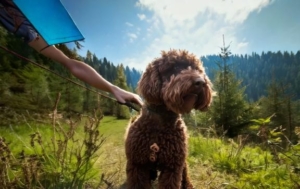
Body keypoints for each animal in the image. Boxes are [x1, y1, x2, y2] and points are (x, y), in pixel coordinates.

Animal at [124, 49, 213, 188]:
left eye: (196, 69)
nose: (201, 82)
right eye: (174, 67)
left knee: (185, 174)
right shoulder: (137, 165)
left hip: (182, 162)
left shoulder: (173, 167)